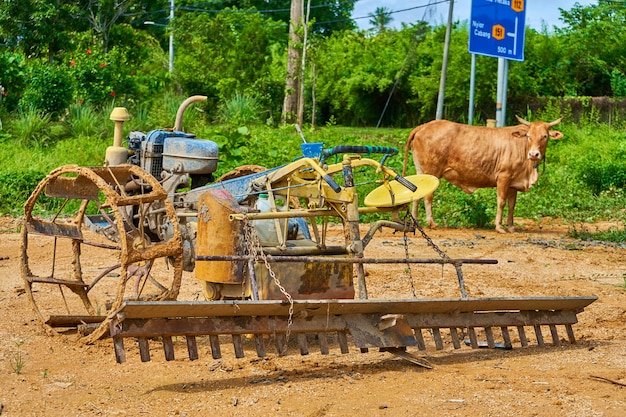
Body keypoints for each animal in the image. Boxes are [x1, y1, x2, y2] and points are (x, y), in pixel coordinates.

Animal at [402, 117, 564, 232]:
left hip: (421, 171)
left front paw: (511, 227)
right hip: (432, 172)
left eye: (545, 136)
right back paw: (431, 222)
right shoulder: (503, 177)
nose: (534, 154)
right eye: (529, 136)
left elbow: (512, 205)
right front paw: (499, 227)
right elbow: (501, 202)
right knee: (428, 196)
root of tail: (424, 126)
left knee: (418, 195)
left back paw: (415, 221)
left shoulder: (513, 183)